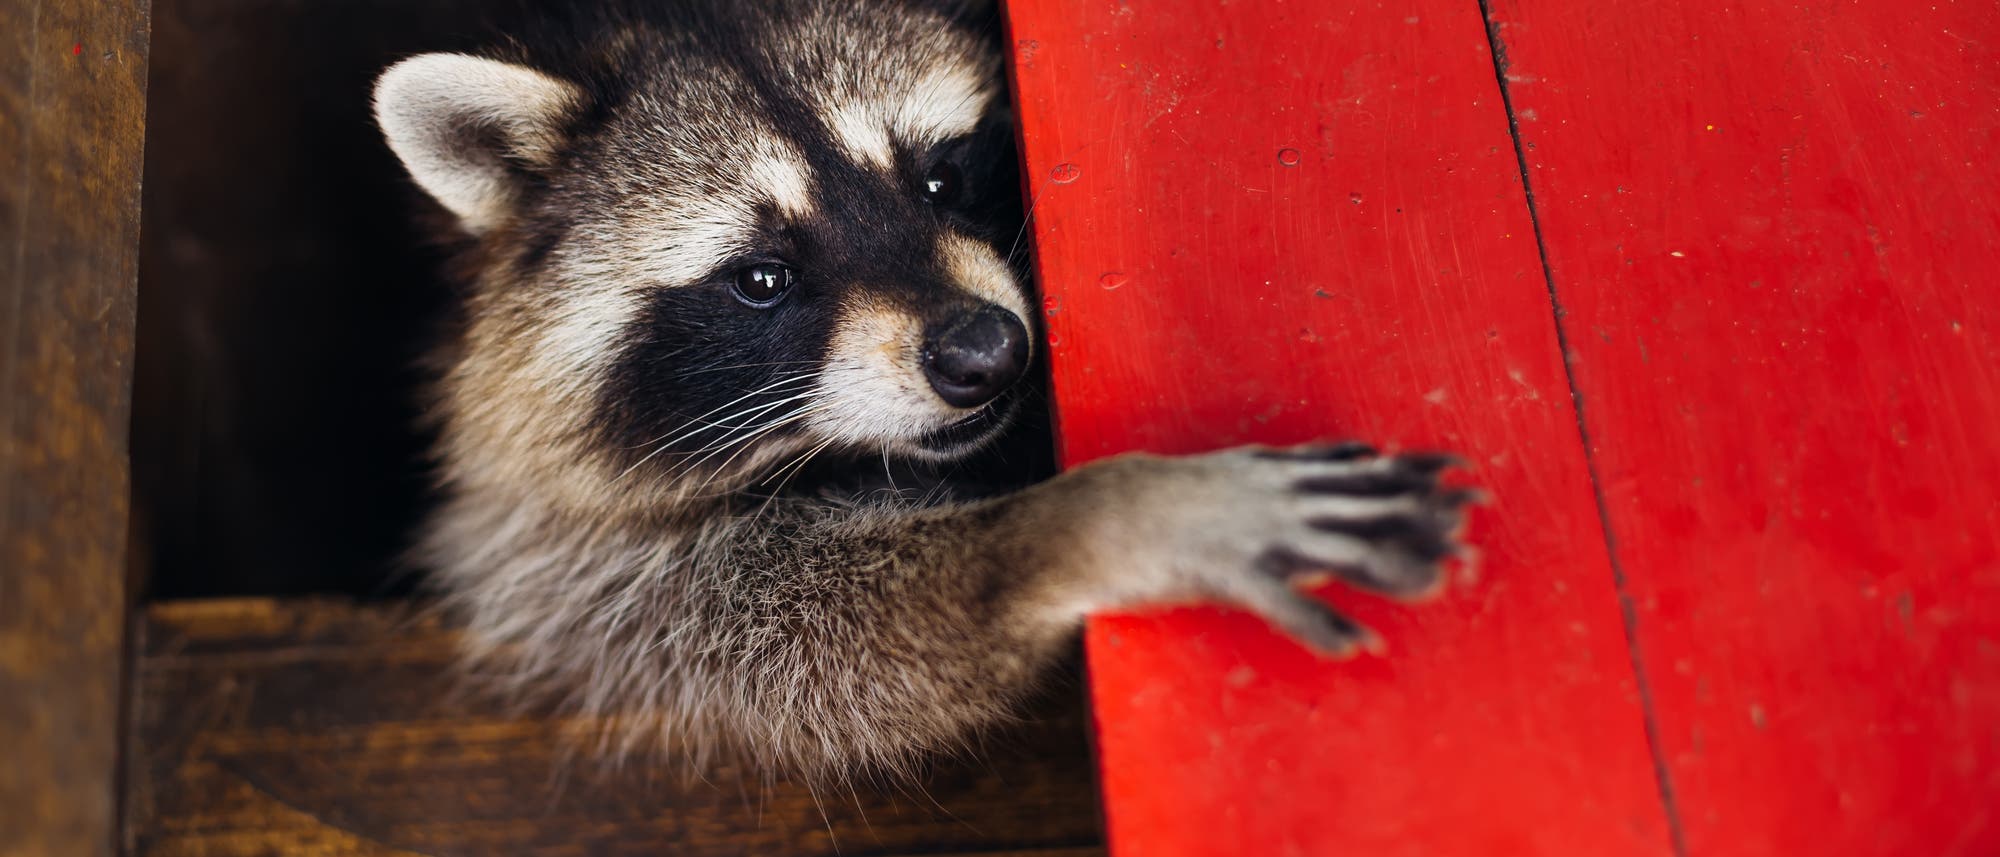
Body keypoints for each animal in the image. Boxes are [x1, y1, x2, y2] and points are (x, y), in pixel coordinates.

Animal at [372, 0, 1472, 776]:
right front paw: (1088, 521)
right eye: (761, 278)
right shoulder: (551, 553)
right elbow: (788, 642)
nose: (986, 352)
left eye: (940, 178)